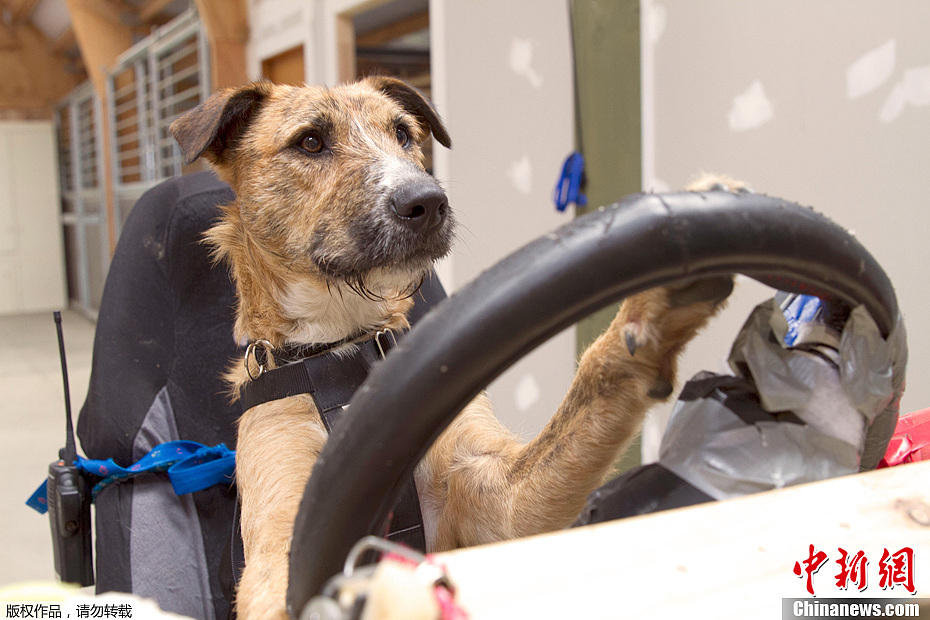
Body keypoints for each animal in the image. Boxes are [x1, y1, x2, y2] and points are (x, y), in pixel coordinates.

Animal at [167, 77, 732, 620]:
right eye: (309, 142)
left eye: (403, 134)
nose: (428, 202)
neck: (345, 349)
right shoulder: (282, 547)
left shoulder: (498, 498)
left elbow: (588, 390)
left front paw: (658, 298)